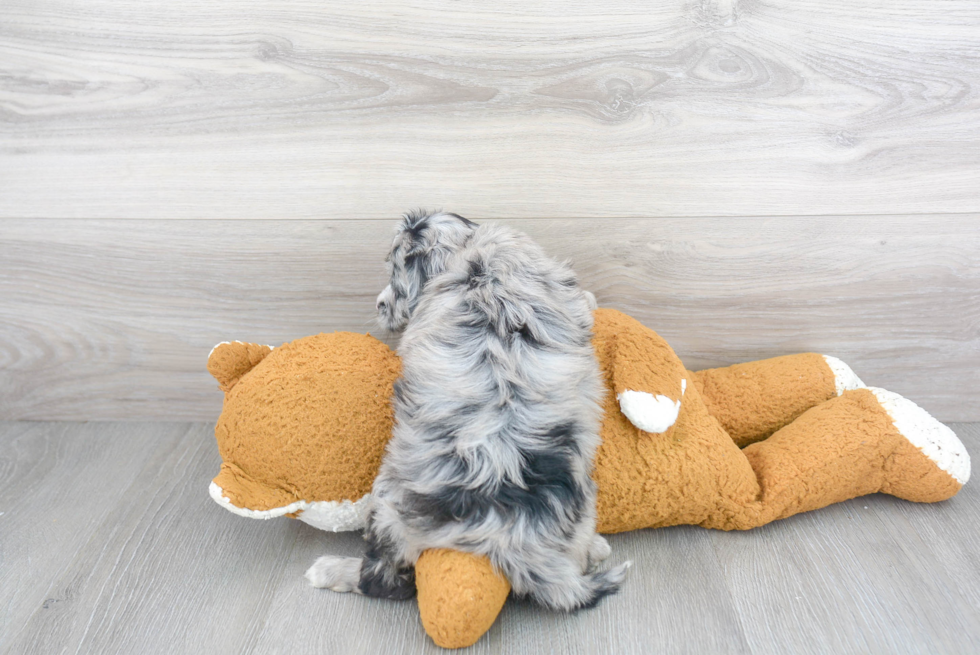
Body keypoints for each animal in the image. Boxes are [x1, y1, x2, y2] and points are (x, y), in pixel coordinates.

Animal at [304, 213, 628, 612]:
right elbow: (586, 301)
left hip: (388, 506)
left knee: (384, 580)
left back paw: (328, 570)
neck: (470, 248)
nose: (379, 304)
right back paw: (596, 547)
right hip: (582, 508)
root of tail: (509, 538)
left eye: (395, 274)